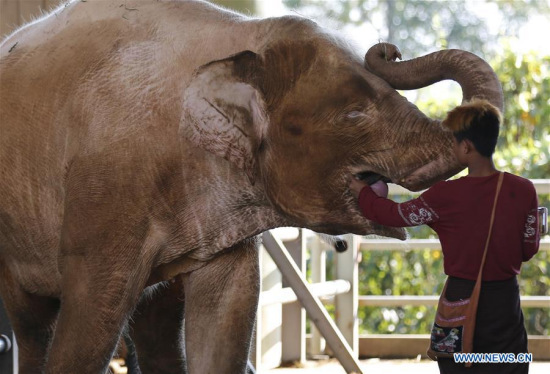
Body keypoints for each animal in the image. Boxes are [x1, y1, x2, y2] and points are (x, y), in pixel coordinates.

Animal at [0, 0, 504, 374]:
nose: (389, 50)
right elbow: (90, 321)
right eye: (354, 115)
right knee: (34, 326)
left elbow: (228, 312)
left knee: (158, 324)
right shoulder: (106, 187)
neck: (242, 36)